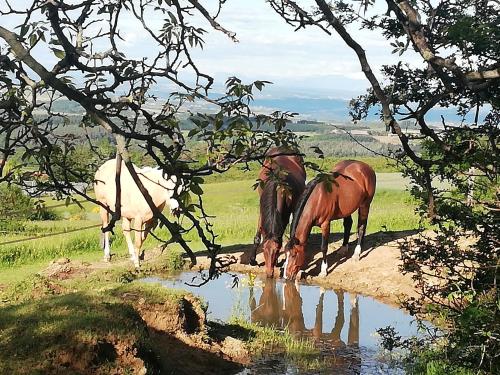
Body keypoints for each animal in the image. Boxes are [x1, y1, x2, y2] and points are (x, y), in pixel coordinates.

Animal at [252, 147, 306, 280]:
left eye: (277, 250)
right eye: (263, 250)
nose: (269, 273)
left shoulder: (284, 215)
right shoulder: (262, 210)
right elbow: (258, 235)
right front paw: (252, 260)